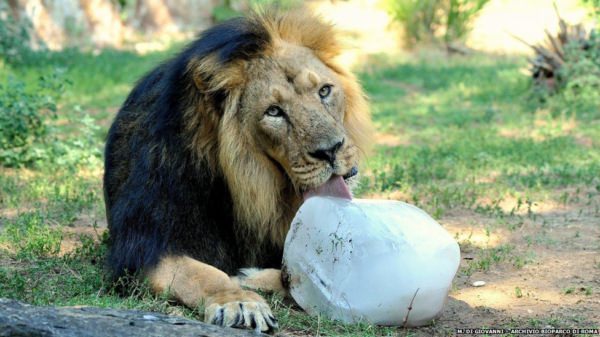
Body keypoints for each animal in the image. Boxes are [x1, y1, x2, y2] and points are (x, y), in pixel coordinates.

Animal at [105, 7, 372, 330]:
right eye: (274, 111)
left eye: (324, 91)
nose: (331, 150)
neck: (250, 188)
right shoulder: (143, 247)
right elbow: (203, 273)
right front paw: (239, 301)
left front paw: (255, 278)